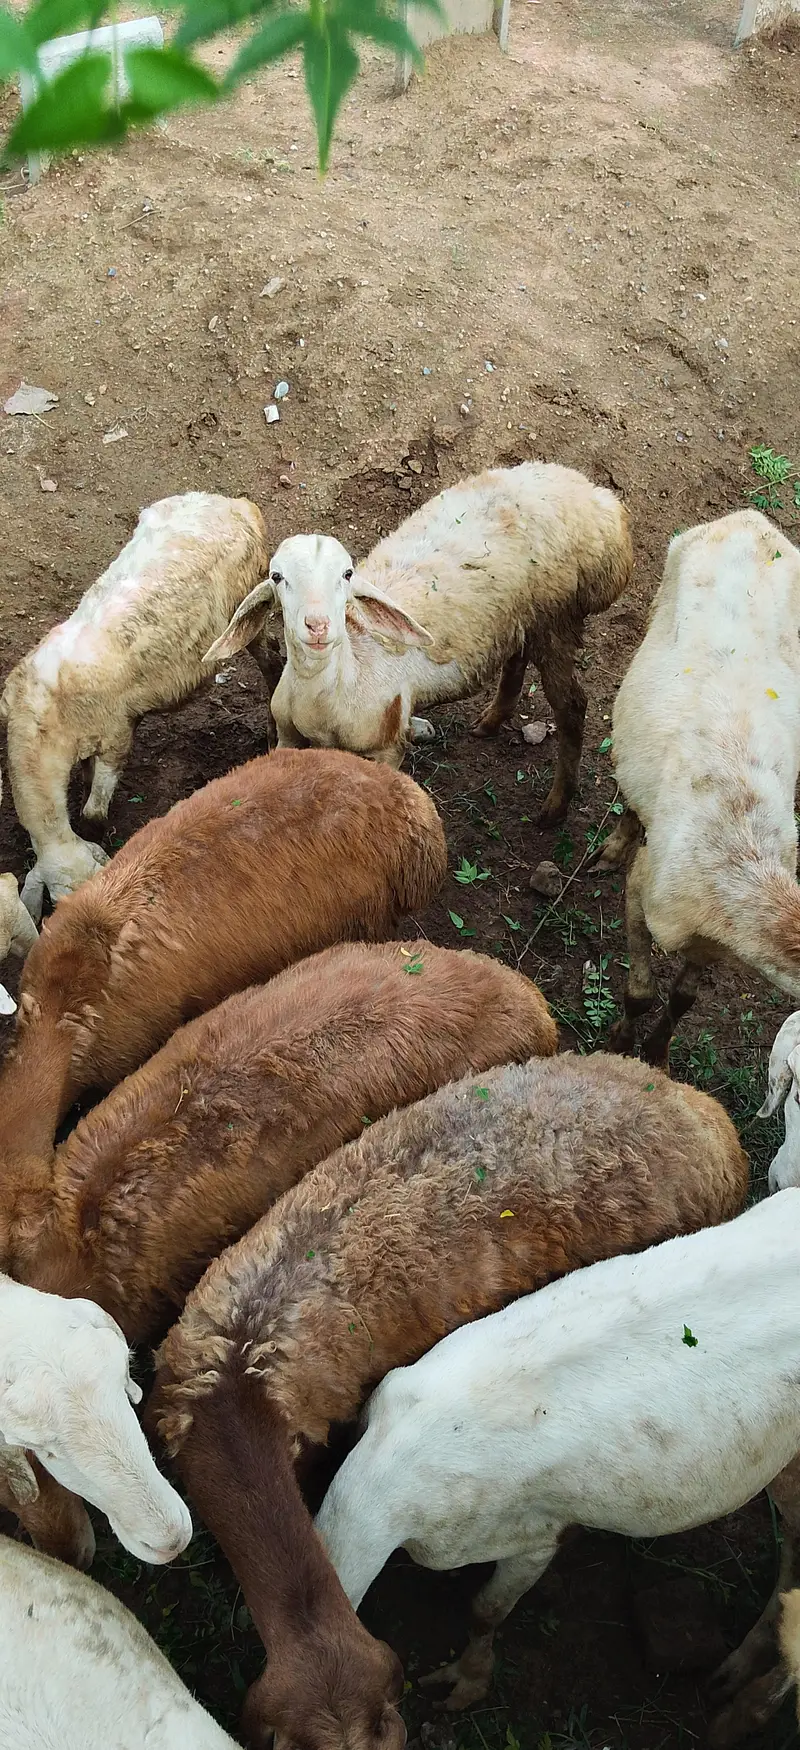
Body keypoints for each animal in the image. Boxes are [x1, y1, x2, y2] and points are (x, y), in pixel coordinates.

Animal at [1, 492, 282, 917]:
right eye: (54, 906)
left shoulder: (117, 734)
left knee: (274, 660)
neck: (41, 717)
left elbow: (92, 813)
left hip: (249, 612)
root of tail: (238, 505)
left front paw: (98, 826)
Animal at [204, 463, 633, 824]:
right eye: (277, 577)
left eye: (347, 574)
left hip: (556, 618)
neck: (338, 683)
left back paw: (555, 807)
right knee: (516, 656)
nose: (318, 625)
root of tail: (602, 504)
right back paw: (491, 721)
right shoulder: (288, 737)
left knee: (572, 706)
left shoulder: (385, 750)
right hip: (522, 617)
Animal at [597, 509, 800, 1066]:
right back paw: (612, 847)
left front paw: (658, 1054)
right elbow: (640, 994)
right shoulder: (645, 890)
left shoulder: (718, 944)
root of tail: (751, 519)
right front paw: (621, 1047)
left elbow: (684, 998)